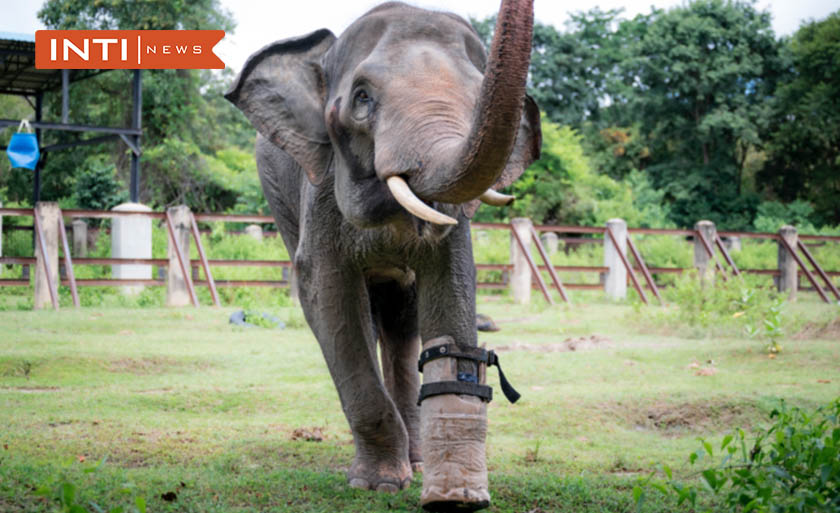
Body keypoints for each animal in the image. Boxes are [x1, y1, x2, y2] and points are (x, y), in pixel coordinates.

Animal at [223, 0, 540, 506]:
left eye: (478, 98)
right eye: (362, 98)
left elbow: (450, 285)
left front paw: (443, 483)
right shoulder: (321, 191)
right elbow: (327, 295)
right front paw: (378, 484)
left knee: (401, 325)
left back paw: (418, 459)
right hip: (278, 196)